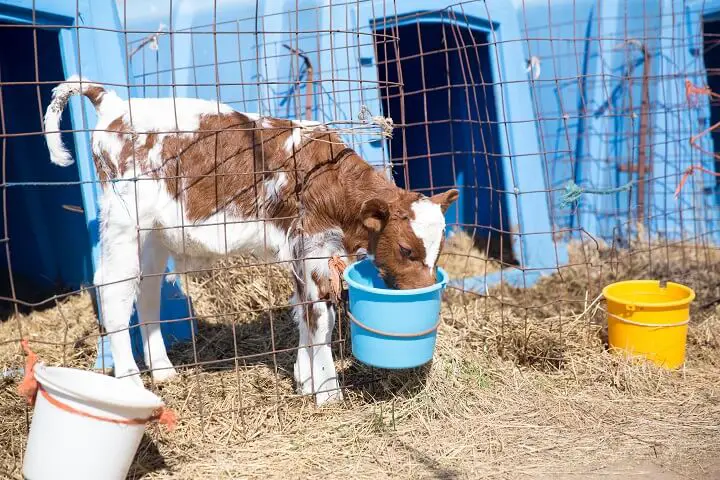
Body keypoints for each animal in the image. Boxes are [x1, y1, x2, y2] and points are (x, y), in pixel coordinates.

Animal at [45, 77, 458, 406]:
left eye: (439, 251)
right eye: (406, 250)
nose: (423, 292)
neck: (329, 178)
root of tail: (114, 104)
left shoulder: (299, 250)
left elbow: (303, 313)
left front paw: (304, 378)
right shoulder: (313, 247)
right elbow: (320, 317)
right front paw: (327, 392)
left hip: (153, 234)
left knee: (146, 289)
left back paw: (162, 370)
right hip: (122, 220)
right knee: (113, 291)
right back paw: (131, 383)